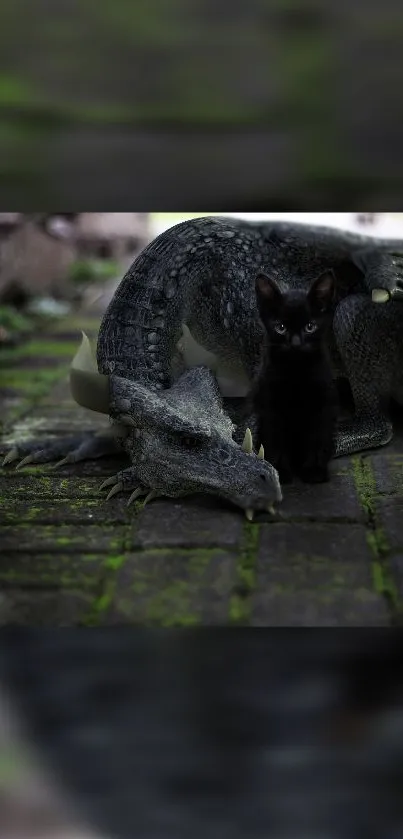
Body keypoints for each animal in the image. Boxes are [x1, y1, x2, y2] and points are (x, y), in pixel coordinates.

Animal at [252, 272, 340, 482]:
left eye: (310, 326)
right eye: (281, 327)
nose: (295, 343)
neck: (296, 369)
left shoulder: (322, 404)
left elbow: (316, 437)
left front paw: (313, 470)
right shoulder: (271, 406)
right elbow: (275, 439)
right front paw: (279, 471)